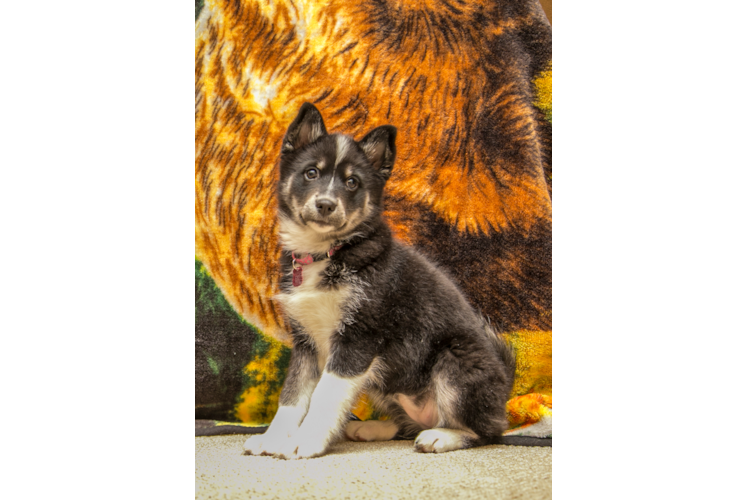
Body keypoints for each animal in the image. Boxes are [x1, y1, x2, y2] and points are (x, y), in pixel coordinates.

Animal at [244, 103, 516, 458]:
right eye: (311, 173)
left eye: (352, 182)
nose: (326, 205)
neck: (326, 252)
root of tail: (505, 384)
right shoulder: (306, 341)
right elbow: (292, 396)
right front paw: (274, 437)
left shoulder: (358, 338)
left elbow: (325, 396)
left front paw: (304, 441)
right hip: (382, 378)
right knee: (407, 422)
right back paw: (373, 427)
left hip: (454, 360)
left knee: (486, 431)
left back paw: (442, 436)